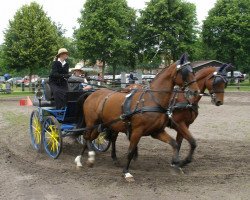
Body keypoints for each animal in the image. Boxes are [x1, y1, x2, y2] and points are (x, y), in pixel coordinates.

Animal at [74, 53, 199, 181]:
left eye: (193, 71)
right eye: (185, 72)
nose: (196, 91)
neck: (152, 99)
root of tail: (92, 93)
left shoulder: (157, 131)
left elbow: (174, 144)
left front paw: (177, 163)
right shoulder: (137, 131)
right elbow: (130, 151)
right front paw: (126, 172)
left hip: (101, 124)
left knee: (91, 138)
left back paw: (88, 158)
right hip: (91, 122)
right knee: (86, 136)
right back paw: (81, 159)